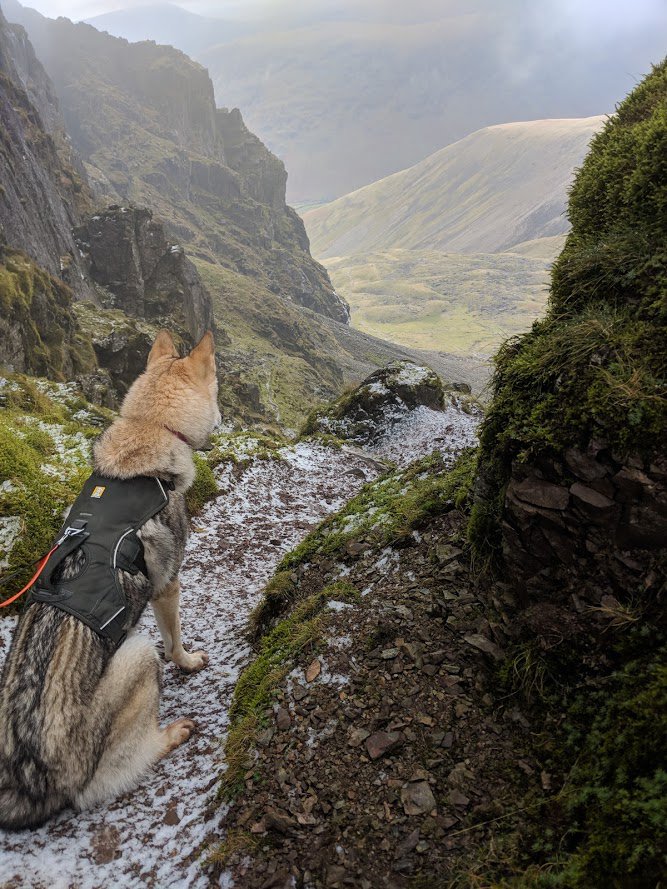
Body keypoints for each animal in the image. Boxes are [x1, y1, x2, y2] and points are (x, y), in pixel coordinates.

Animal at [0, 329, 220, 829]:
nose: (223, 419)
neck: (151, 428)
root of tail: (28, 778)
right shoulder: (168, 586)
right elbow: (174, 642)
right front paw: (188, 661)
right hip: (138, 656)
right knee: (110, 777)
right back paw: (171, 733)